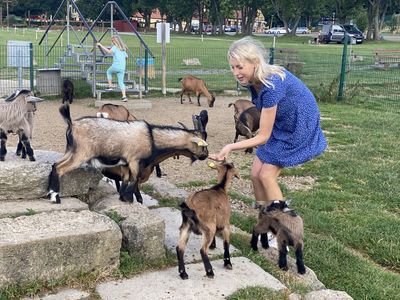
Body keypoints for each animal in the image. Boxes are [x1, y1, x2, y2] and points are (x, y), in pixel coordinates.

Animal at [48, 104, 208, 205]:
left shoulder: (125, 164)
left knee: (55, 165)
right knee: (60, 169)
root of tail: (71, 124)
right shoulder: (134, 160)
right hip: (81, 153)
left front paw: (122, 198)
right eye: (203, 144)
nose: (206, 156)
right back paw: (55, 197)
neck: (152, 138)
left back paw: (50, 193)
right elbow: (134, 180)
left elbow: (125, 179)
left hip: (71, 151)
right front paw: (129, 199)